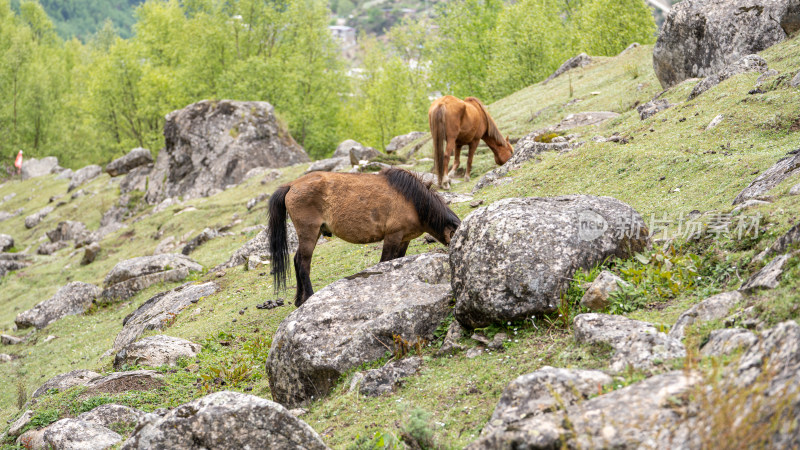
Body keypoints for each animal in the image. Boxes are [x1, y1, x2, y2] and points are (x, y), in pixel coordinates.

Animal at [268, 167, 460, 308]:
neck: (412, 200)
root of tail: (292, 185)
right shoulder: (393, 236)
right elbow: (385, 261)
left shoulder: (405, 239)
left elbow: (396, 260)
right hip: (309, 234)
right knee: (303, 264)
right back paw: (309, 297)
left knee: (296, 260)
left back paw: (299, 300)